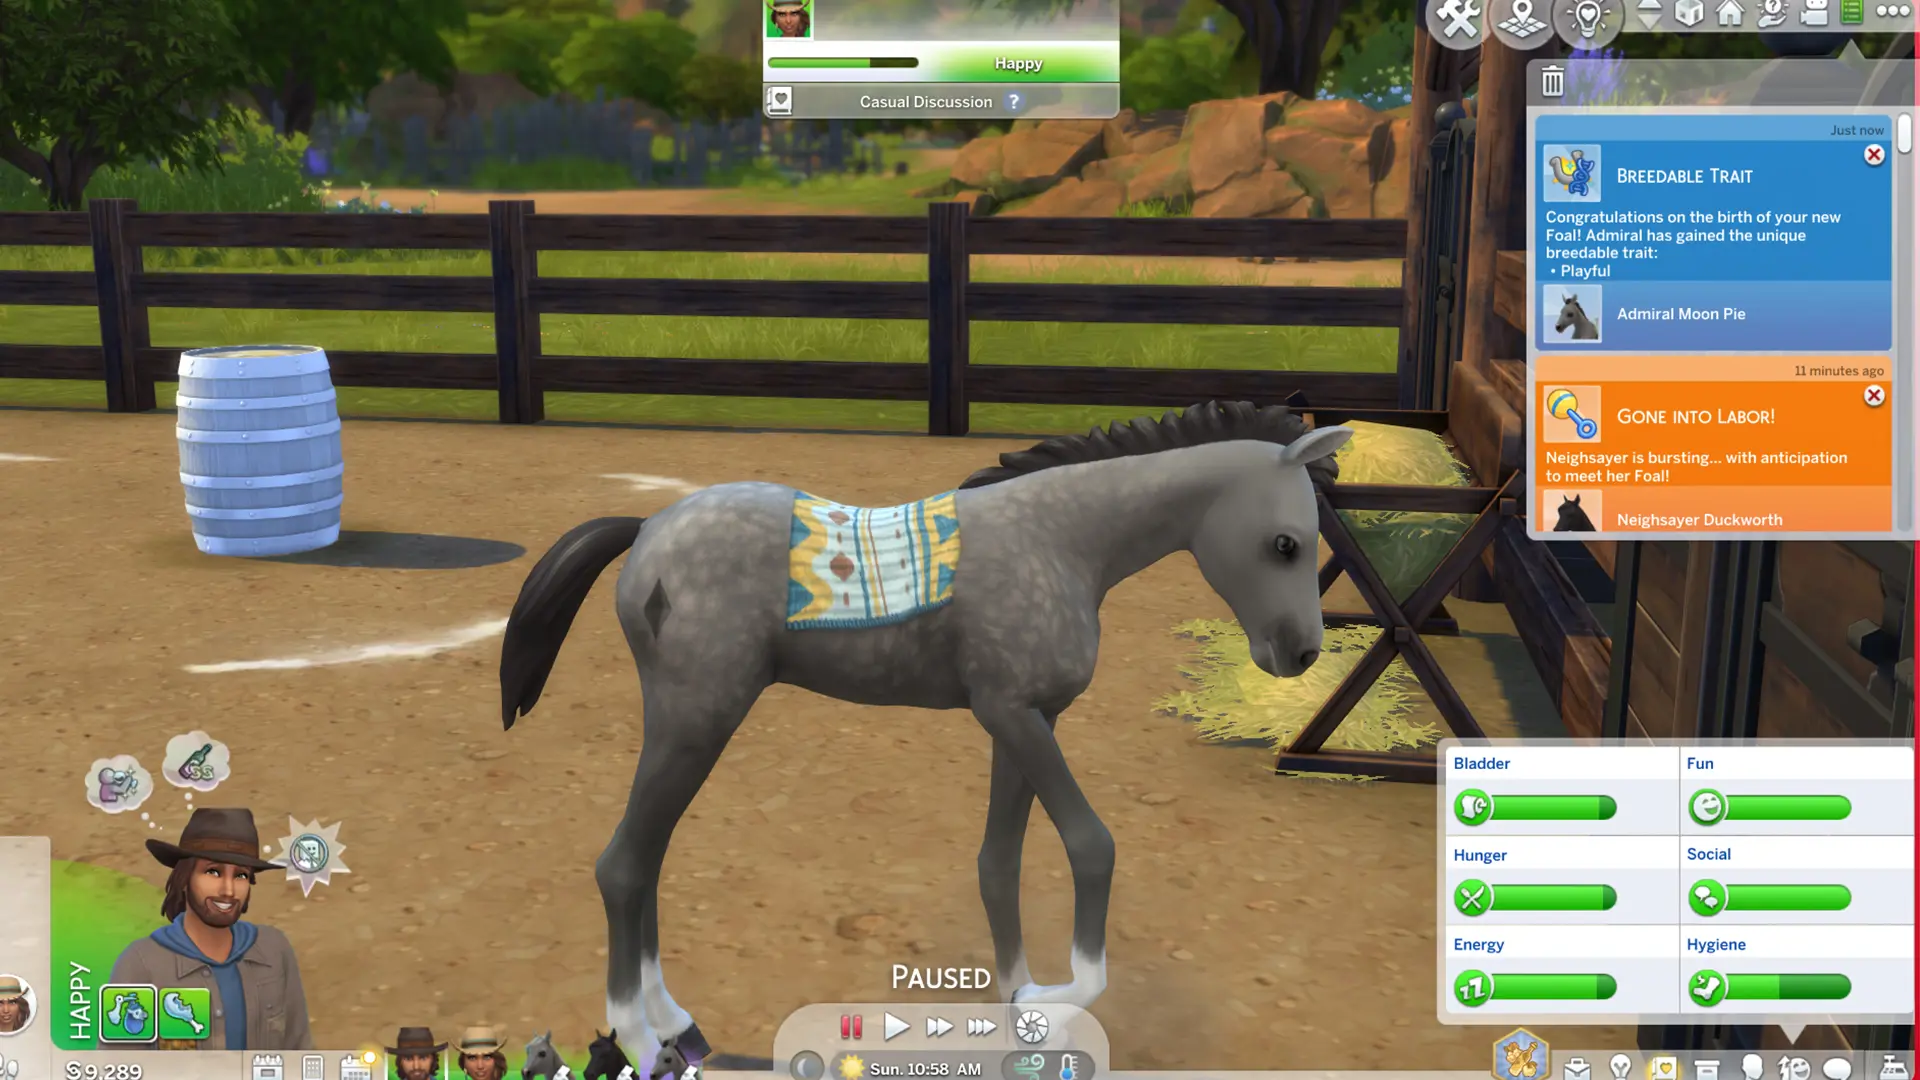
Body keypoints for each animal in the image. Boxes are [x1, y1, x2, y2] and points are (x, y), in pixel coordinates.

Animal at [498, 401, 1353, 1075]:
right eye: (1286, 543)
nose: (1300, 655)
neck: (1060, 541)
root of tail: (648, 528)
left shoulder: (1026, 719)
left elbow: (999, 863)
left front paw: (1021, 1005)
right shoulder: (1012, 715)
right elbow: (1091, 846)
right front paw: (1061, 995)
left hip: (687, 724)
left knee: (648, 860)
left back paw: (677, 1023)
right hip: (697, 717)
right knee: (623, 865)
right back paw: (643, 1041)